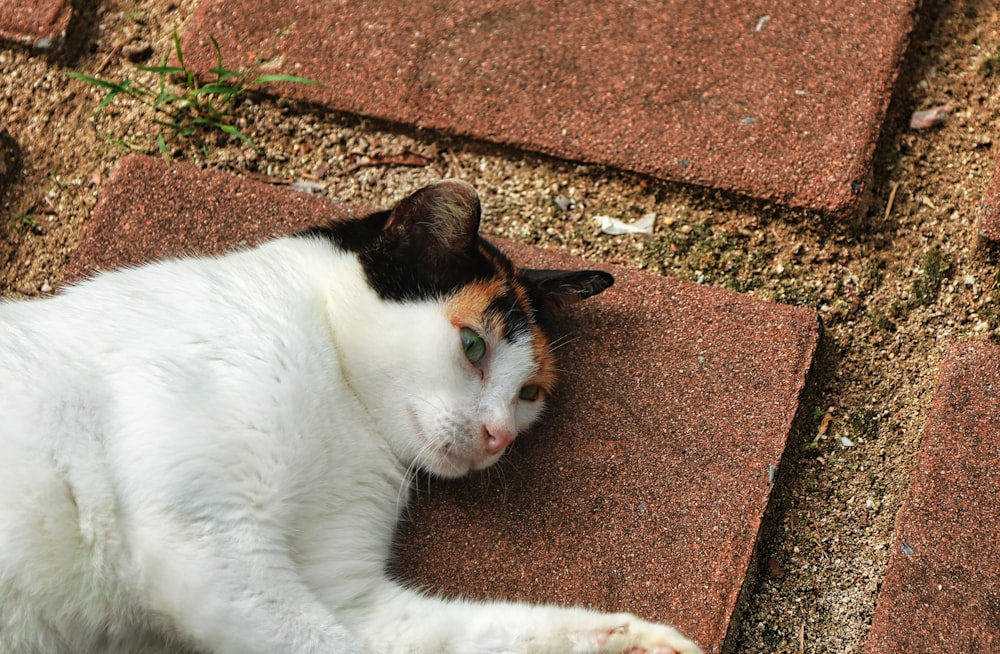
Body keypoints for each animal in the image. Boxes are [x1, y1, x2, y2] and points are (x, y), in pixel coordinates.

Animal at [0, 181, 704, 654]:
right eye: (472, 345)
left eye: (529, 393)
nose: (499, 436)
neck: (347, 416)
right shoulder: (203, 535)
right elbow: (325, 644)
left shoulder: (350, 596)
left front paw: (630, 638)